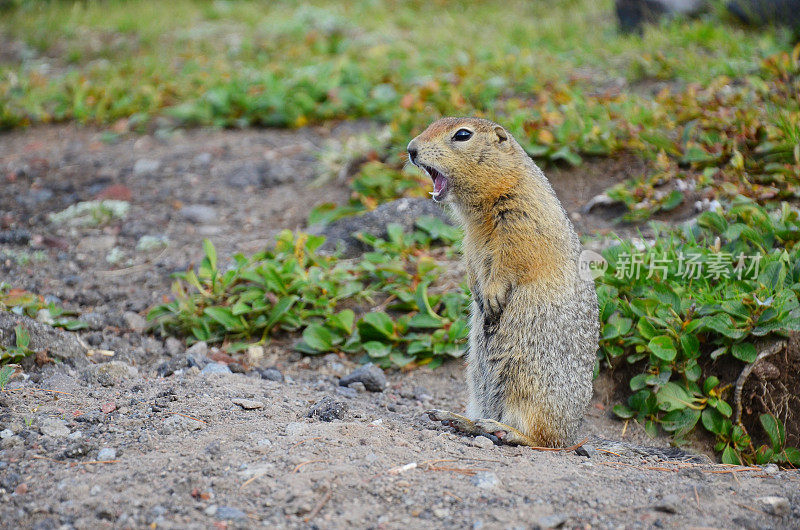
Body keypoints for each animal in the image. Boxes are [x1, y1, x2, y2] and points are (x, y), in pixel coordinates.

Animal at [406, 116, 600, 446]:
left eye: (462, 135)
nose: (410, 149)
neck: (481, 210)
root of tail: (573, 433)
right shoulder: (470, 238)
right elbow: (471, 260)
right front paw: (476, 290)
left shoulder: (521, 218)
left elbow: (512, 258)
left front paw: (493, 295)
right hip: (477, 380)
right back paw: (459, 419)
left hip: (530, 383)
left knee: (543, 439)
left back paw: (507, 431)